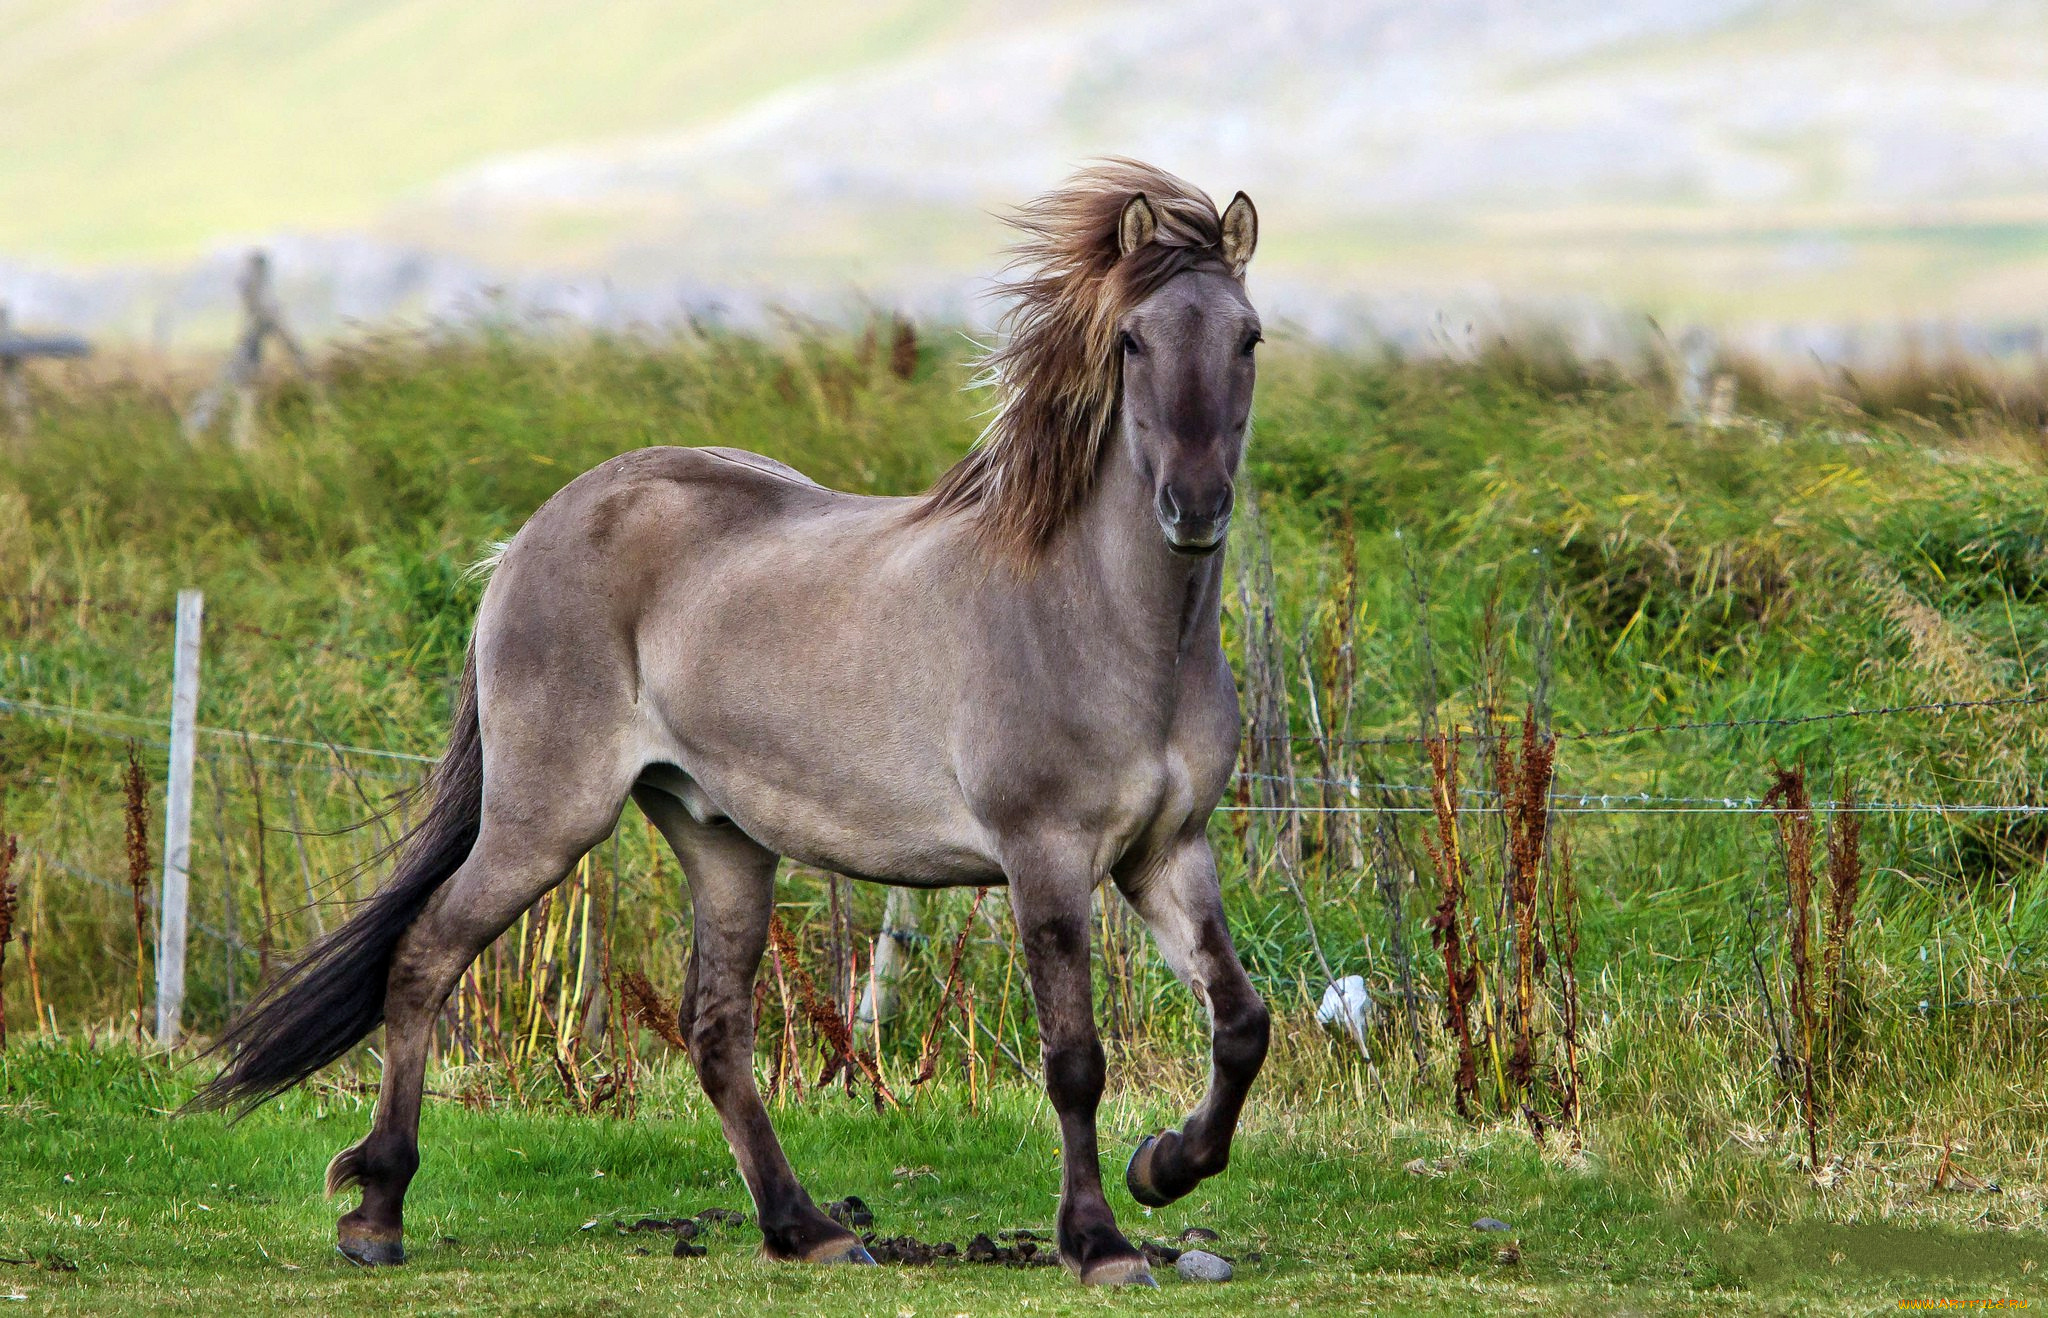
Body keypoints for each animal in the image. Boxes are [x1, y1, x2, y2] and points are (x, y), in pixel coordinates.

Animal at [199, 161, 1269, 1285]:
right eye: (1133, 341)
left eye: (1247, 338)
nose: (1194, 507)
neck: (1101, 624)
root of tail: (531, 536)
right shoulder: (1045, 857)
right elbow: (1074, 1058)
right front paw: (1099, 1239)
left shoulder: (1165, 853)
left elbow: (1241, 1022)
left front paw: (1165, 1165)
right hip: (547, 819)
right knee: (423, 958)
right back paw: (376, 1210)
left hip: (721, 840)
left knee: (714, 1032)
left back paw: (806, 1227)